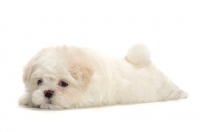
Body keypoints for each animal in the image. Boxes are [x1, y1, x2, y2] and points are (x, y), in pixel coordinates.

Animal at [18, 44, 188, 109]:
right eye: (39, 82)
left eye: (63, 84)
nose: (48, 92)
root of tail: (142, 63)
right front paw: (27, 99)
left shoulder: (90, 97)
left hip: (162, 88)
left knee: (171, 89)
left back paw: (182, 93)